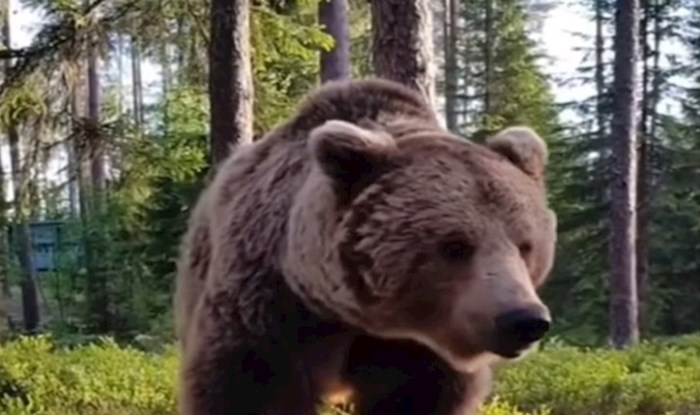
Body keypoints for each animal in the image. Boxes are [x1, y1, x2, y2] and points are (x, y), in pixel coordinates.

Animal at [175, 78, 556, 415]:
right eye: (456, 245)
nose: (523, 320)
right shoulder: (270, 311)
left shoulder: (413, 355)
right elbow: (251, 389)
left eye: (525, 245)